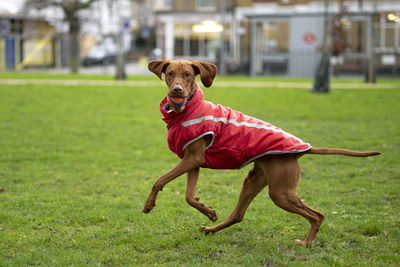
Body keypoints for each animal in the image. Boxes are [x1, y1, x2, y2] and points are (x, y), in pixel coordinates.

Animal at [142, 59, 380, 248]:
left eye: (188, 75)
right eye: (170, 74)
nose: (177, 90)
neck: (188, 109)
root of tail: (302, 149)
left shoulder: (193, 158)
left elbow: (159, 180)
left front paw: (149, 204)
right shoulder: (194, 160)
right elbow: (189, 196)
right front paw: (208, 210)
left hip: (280, 192)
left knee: (318, 215)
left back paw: (305, 244)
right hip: (255, 180)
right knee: (237, 215)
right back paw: (211, 230)